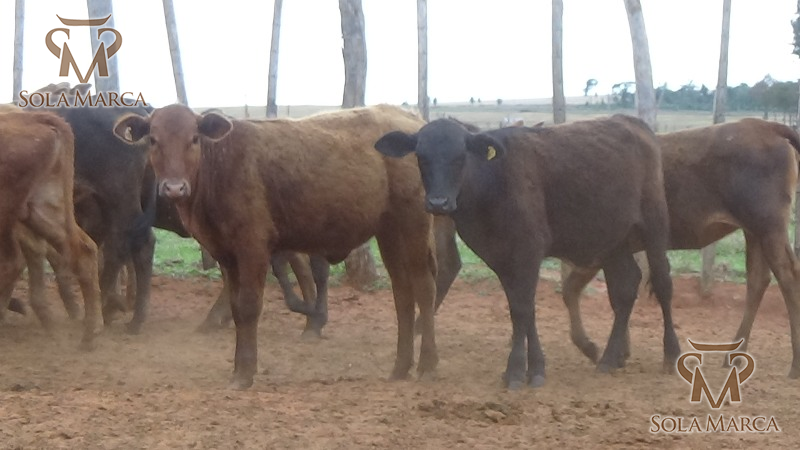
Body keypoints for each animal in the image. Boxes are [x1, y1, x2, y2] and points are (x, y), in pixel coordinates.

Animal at [113, 104, 437, 389]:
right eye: (153, 139)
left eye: (194, 138)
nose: (174, 187)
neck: (221, 165)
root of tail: (411, 120)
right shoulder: (225, 254)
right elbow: (236, 307)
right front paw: (238, 368)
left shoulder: (253, 247)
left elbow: (249, 305)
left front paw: (245, 373)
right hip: (389, 231)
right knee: (402, 293)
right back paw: (400, 367)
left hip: (414, 224)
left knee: (423, 287)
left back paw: (427, 365)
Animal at [375, 115, 680, 389]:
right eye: (421, 156)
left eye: (460, 156)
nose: (438, 203)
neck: (493, 182)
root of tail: (633, 122)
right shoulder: (501, 258)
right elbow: (523, 308)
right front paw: (535, 369)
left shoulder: (528, 252)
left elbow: (522, 309)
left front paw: (515, 372)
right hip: (614, 242)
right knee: (626, 289)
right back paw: (609, 358)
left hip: (655, 225)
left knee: (663, 284)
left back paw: (671, 354)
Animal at [559, 118, 800, 378]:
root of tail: (765, 126)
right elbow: (580, 291)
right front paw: (615, 351)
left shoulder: (602, 252)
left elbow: (599, 292)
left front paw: (602, 350)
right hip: (755, 233)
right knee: (758, 280)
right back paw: (733, 355)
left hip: (769, 229)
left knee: (788, 279)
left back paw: (795, 364)